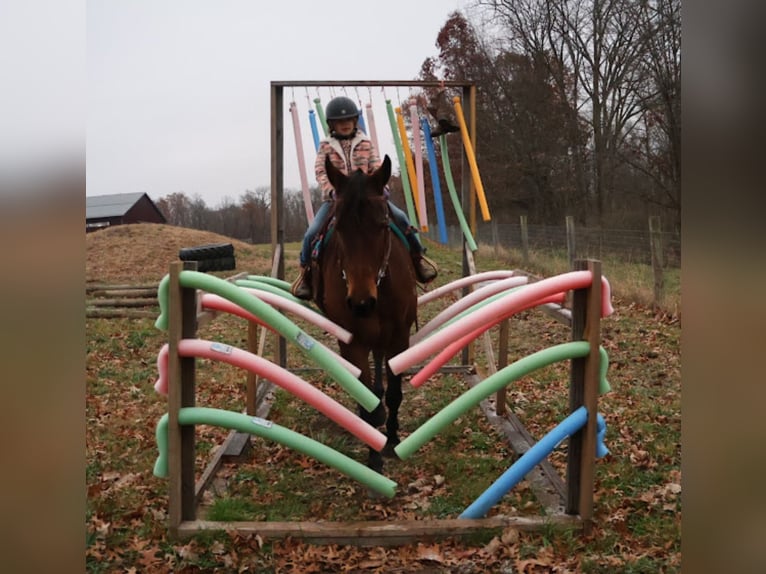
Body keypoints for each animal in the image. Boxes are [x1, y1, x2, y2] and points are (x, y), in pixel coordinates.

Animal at [310, 154, 417, 475]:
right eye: (338, 227)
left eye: (382, 225)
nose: (361, 303)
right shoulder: (352, 342)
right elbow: (367, 404)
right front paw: (374, 459)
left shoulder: (400, 336)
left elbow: (394, 393)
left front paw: (392, 439)